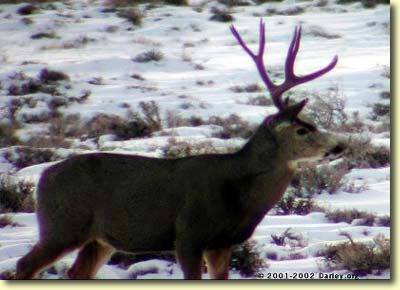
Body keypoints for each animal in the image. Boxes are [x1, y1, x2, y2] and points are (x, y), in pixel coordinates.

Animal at [15, 19, 344, 278]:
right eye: (302, 130)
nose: (339, 145)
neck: (238, 196)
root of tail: (42, 178)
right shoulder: (187, 234)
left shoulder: (221, 243)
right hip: (62, 225)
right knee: (24, 265)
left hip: (99, 239)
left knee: (76, 272)